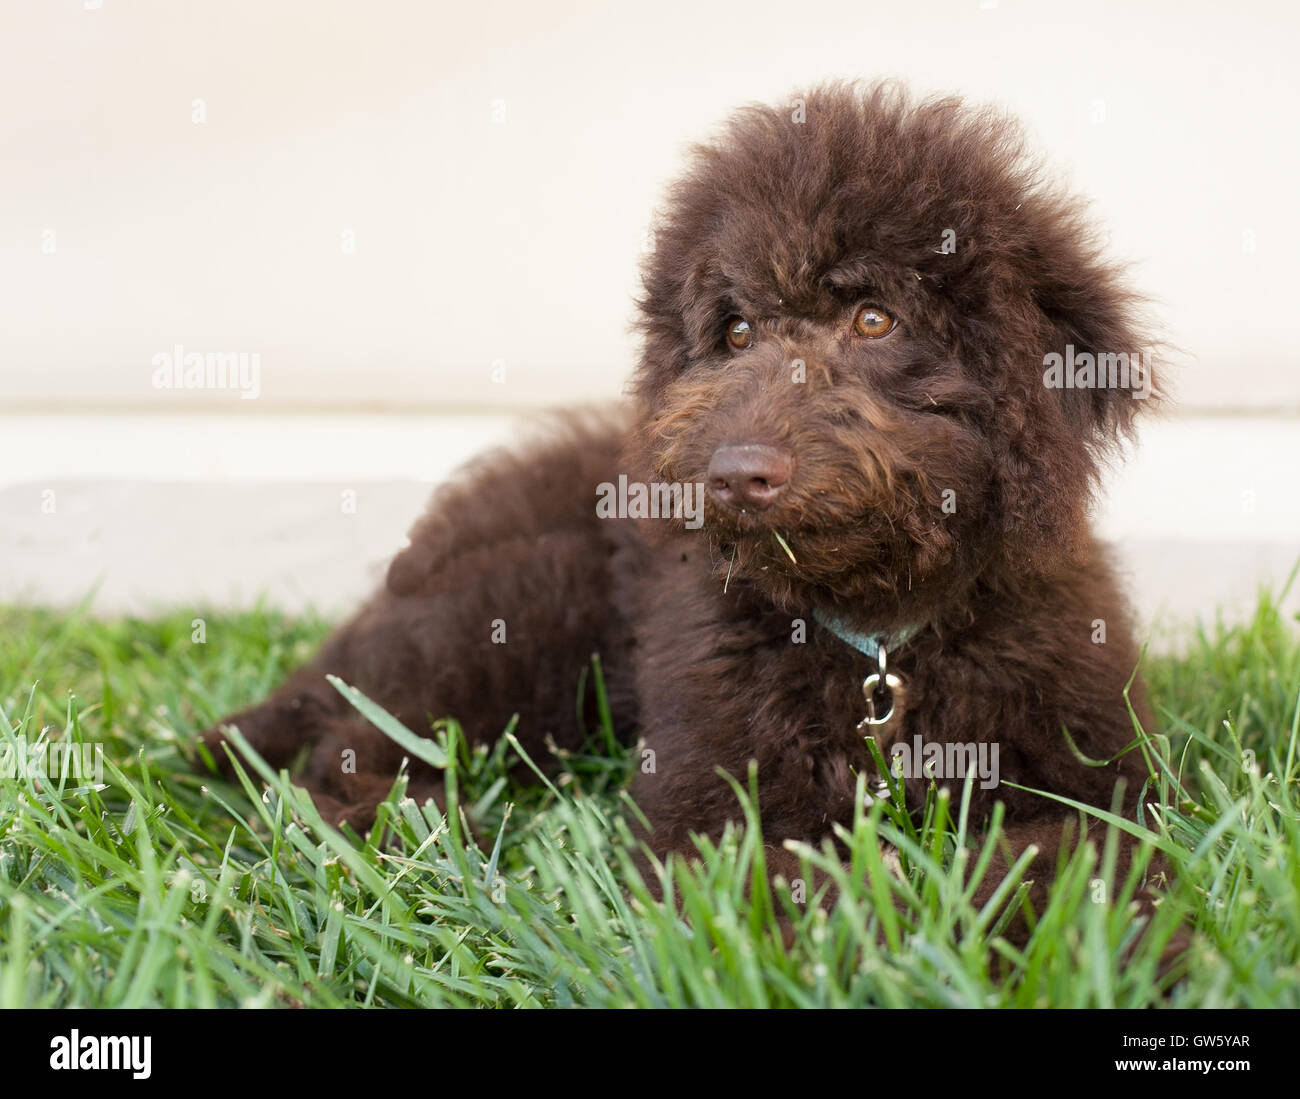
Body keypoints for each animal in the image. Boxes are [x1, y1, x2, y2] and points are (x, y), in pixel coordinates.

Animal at [202, 85, 1170, 941]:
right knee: (344, 746)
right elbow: (807, 886)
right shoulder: (704, 809)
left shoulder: (1106, 778)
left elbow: (1062, 861)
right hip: (518, 614)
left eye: (874, 319)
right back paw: (418, 829)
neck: (877, 643)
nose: (737, 473)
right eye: (736, 332)